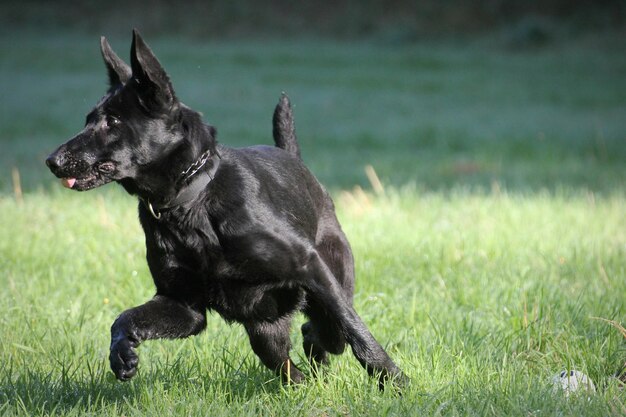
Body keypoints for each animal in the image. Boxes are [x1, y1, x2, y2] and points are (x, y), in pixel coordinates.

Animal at [45, 30, 404, 390]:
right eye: (89, 120)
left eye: (113, 121)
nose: (52, 161)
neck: (191, 201)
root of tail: (294, 159)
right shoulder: (184, 306)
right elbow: (124, 318)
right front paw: (122, 354)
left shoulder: (310, 268)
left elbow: (353, 328)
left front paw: (393, 378)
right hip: (265, 331)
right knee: (287, 359)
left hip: (329, 279)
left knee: (327, 331)